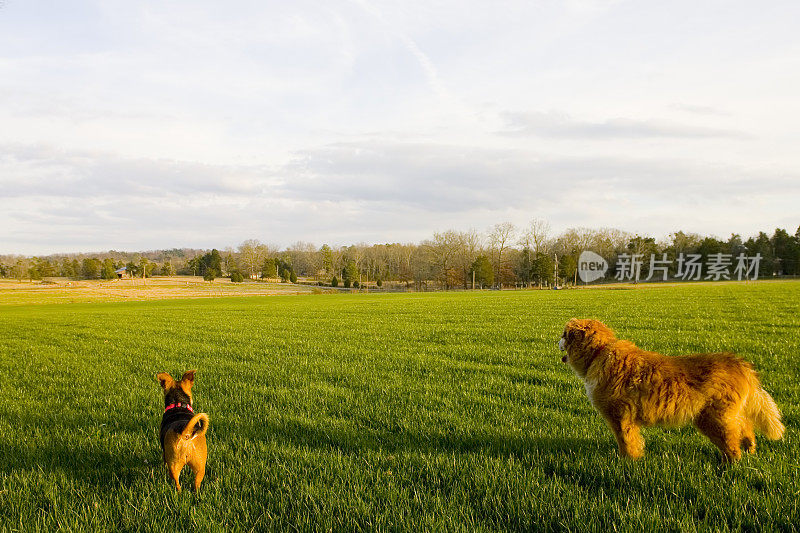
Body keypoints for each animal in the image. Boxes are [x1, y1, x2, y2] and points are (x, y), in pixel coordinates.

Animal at [560, 318, 784, 460]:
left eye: (564, 334)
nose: (557, 339)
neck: (599, 353)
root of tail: (738, 363)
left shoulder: (620, 417)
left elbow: (626, 441)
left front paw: (627, 461)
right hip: (725, 414)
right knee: (745, 427)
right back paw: (750, 449)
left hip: (714, 418)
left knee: (733, 443)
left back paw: (729, 466)